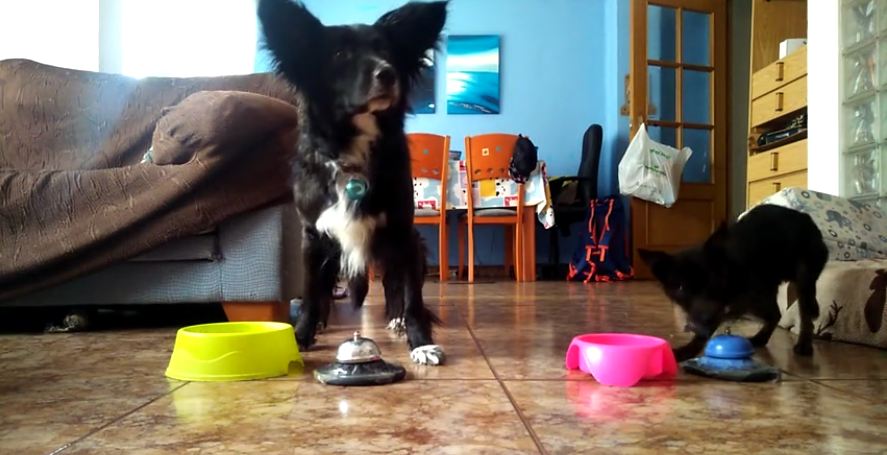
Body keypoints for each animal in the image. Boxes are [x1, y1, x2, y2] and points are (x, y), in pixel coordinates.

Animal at [258, 0, 450, 366]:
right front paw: (301, 336)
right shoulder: (313, 237)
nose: (387, 72)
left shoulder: (403, 234)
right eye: (339, 54)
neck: (352, 152)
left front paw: (420, 342)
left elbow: (411, 297)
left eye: (386, 51)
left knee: (394, 285)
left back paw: (396, 319)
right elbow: (311, 292)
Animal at [640, 205, 828, 362]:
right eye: (680, 287)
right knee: (776, 314)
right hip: (766, 292)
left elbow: (716, 319)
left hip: (803, 277)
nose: (702, 318)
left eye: (713, 279)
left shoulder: (734, 303)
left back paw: (804, 345)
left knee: (805, 313)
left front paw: (688, 349)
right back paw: (761, 338)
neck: (729, 268)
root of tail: (804, 217)